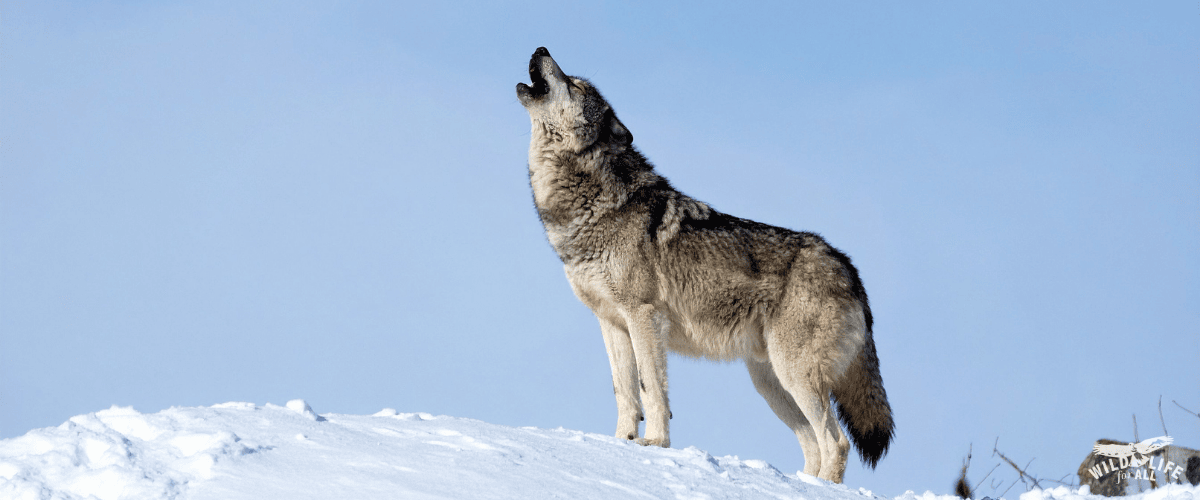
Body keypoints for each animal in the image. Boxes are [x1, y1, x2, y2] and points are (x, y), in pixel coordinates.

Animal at [516, 47, 894, 483]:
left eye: (576, 85)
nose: (541, 49)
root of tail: (849, 268)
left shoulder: (643, 316)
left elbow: (651, 389)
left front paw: (654, 444)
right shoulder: (611, 323)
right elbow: (624, 392)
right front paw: (620, 442)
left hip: (795, 375)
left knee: (837, 442)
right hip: (770, 383)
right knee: (814, 444)